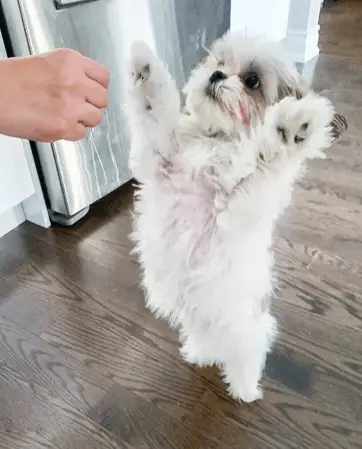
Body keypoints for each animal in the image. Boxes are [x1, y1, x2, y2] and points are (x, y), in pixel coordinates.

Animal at [126, 32, 346, 402]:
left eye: (252, 80)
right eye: (218, 63)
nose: (216, 76)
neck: (217, 140)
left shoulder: (240, 202)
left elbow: (269, 157)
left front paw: (294, 127)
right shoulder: (161, 159)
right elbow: (154, 107)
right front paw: (143, 65)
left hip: (247, 331)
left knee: (246, 357)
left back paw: (245, 389)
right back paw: (199, 354)